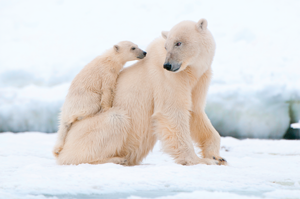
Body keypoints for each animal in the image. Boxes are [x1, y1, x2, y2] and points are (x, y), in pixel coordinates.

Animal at [55, 18, 227, 166]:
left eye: (178, 43)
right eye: (166, 46)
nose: (168, 65)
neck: (190, 71)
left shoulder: (199, 79)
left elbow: (195, 112)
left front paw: (217, 157)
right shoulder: (168, 78)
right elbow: (172, 112)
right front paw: (200, 160)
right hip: (87, 128)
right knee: (114, 119)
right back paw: (116, 159)